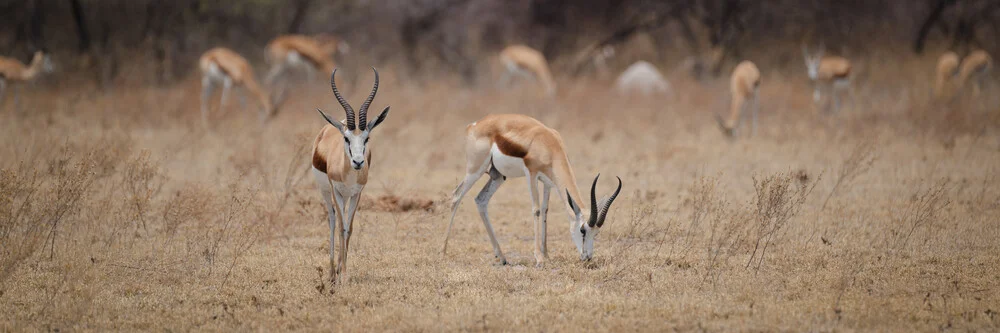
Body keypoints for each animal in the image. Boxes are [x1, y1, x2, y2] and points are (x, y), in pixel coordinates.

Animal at [312, 67, 390, 282]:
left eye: (367, 138)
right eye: (346, 139)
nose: (358, 162)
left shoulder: (357, 193)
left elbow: (350, 228)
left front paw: (344, 273)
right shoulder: (336, 191)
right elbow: (340, 227)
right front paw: (340, 275)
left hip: (346, 196)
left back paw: (338, 269)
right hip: (326, 192)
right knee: (332, 220)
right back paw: (331, 272)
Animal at [444, 113, 620, 266]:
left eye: (596, 233)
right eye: (583, 230)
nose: (588, 257)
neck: (548, 143)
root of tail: (474, 125)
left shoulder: (548, 182)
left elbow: (545, 210)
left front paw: (546, 254)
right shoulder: (531, 174)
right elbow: (536, 210)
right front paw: (539, 259)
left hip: (498, 176)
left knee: (480, 200)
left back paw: (502, 257)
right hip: (475, 170)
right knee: (456, 196)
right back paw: (443, 251)